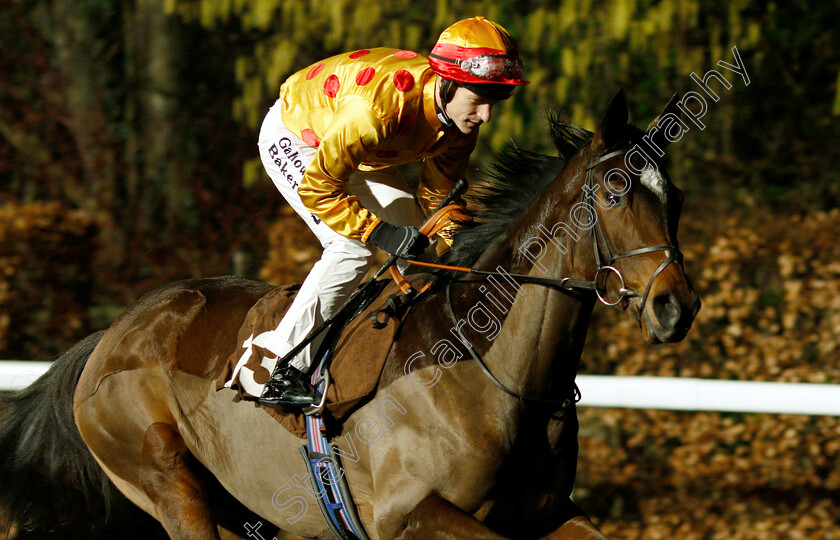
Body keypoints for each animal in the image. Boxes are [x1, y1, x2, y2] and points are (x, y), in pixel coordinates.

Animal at [0, 90, 704, 536]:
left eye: (675, 194)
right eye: (614, 190)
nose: (677, 306)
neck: (491, 374)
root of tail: (110, 338)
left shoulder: (549, 514)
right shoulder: (408, 513)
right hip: (168, 484)